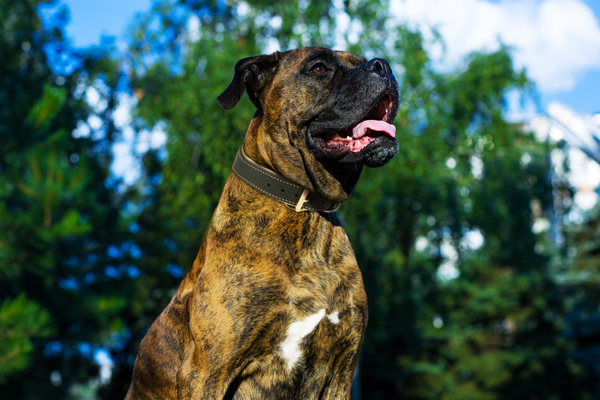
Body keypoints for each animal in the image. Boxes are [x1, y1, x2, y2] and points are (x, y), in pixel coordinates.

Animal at [126, 45, 398, 398]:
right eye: (319, 67)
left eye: (360, 60)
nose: (383, 65)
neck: (305, 212)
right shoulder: (207, 373)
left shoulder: (340, 373)